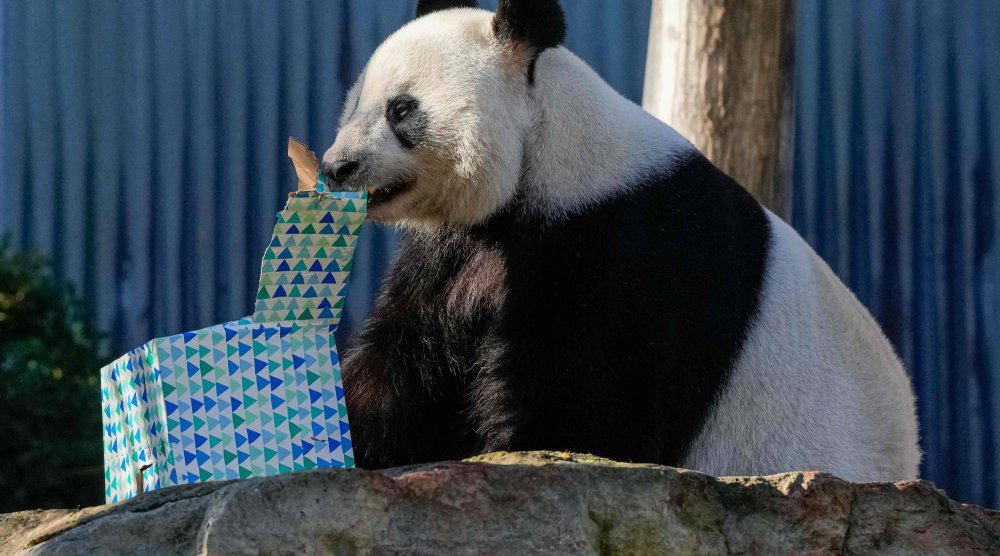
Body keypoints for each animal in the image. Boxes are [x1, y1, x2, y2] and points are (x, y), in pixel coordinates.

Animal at [321, 0, 921, 482]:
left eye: (401, 109)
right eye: (352, 106)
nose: (336, 167)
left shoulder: (627, 253)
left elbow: (586, 407)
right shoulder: (457, 251)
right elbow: (407, 363)